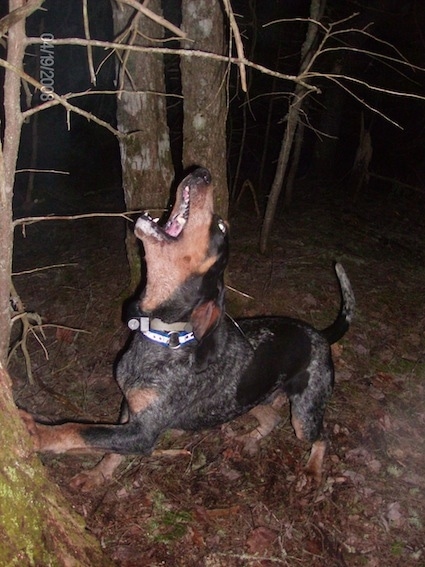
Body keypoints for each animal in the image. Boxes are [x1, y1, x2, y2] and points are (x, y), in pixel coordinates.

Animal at [20, 166, 354, 490]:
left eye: (221, 228)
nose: (203, 173)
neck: (163, 335)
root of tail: (319, 334)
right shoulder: (131, 408)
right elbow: (108, 448)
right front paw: (97, 475)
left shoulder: (143, 432)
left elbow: (79, 430)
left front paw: (39, 433)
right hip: (244, 398)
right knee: (271, 418)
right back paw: (248, 439)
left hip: (304, 412)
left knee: (321, 437)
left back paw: (312, 471)